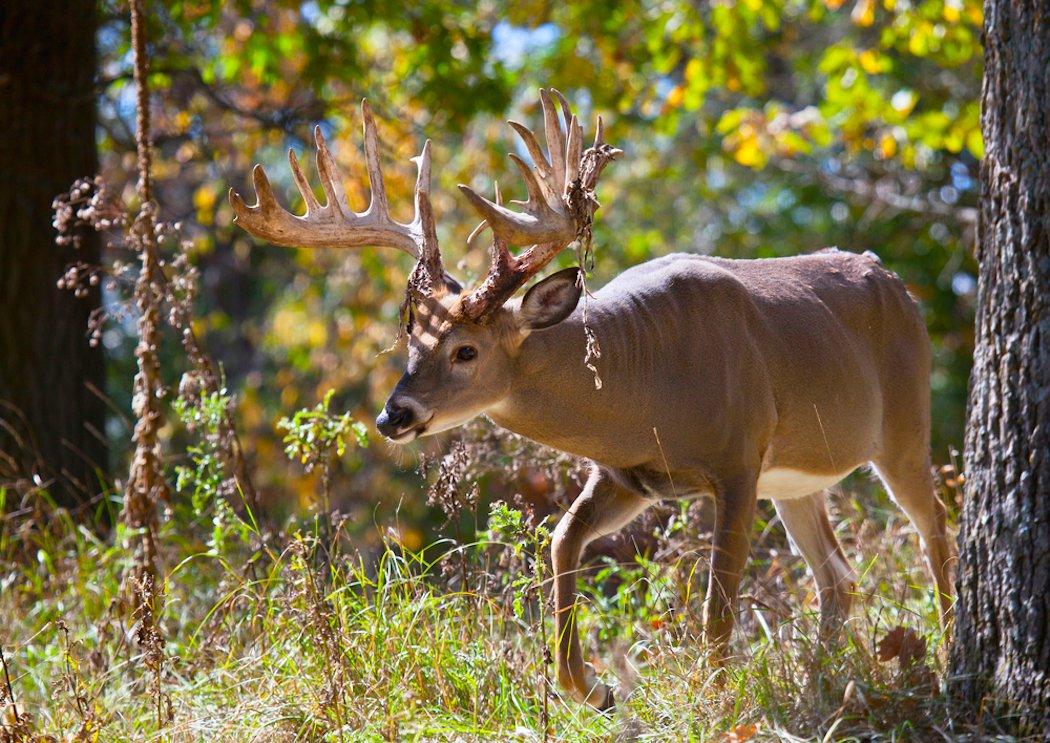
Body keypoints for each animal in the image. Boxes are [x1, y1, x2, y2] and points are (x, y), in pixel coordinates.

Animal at [229, 89, 953, 709]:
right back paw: (821, 683)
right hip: (796, 479)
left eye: (466, 350)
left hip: (904, 425)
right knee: (839, 574)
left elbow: (717, 604)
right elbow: (561, 541)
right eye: (411, 336)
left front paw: (712, 700)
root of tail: (897, 283)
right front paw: (591, 686)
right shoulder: (629, 473)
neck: (647, 386)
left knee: (934, 528)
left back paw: (947, 652)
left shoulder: (737, 459)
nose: (393, 414)